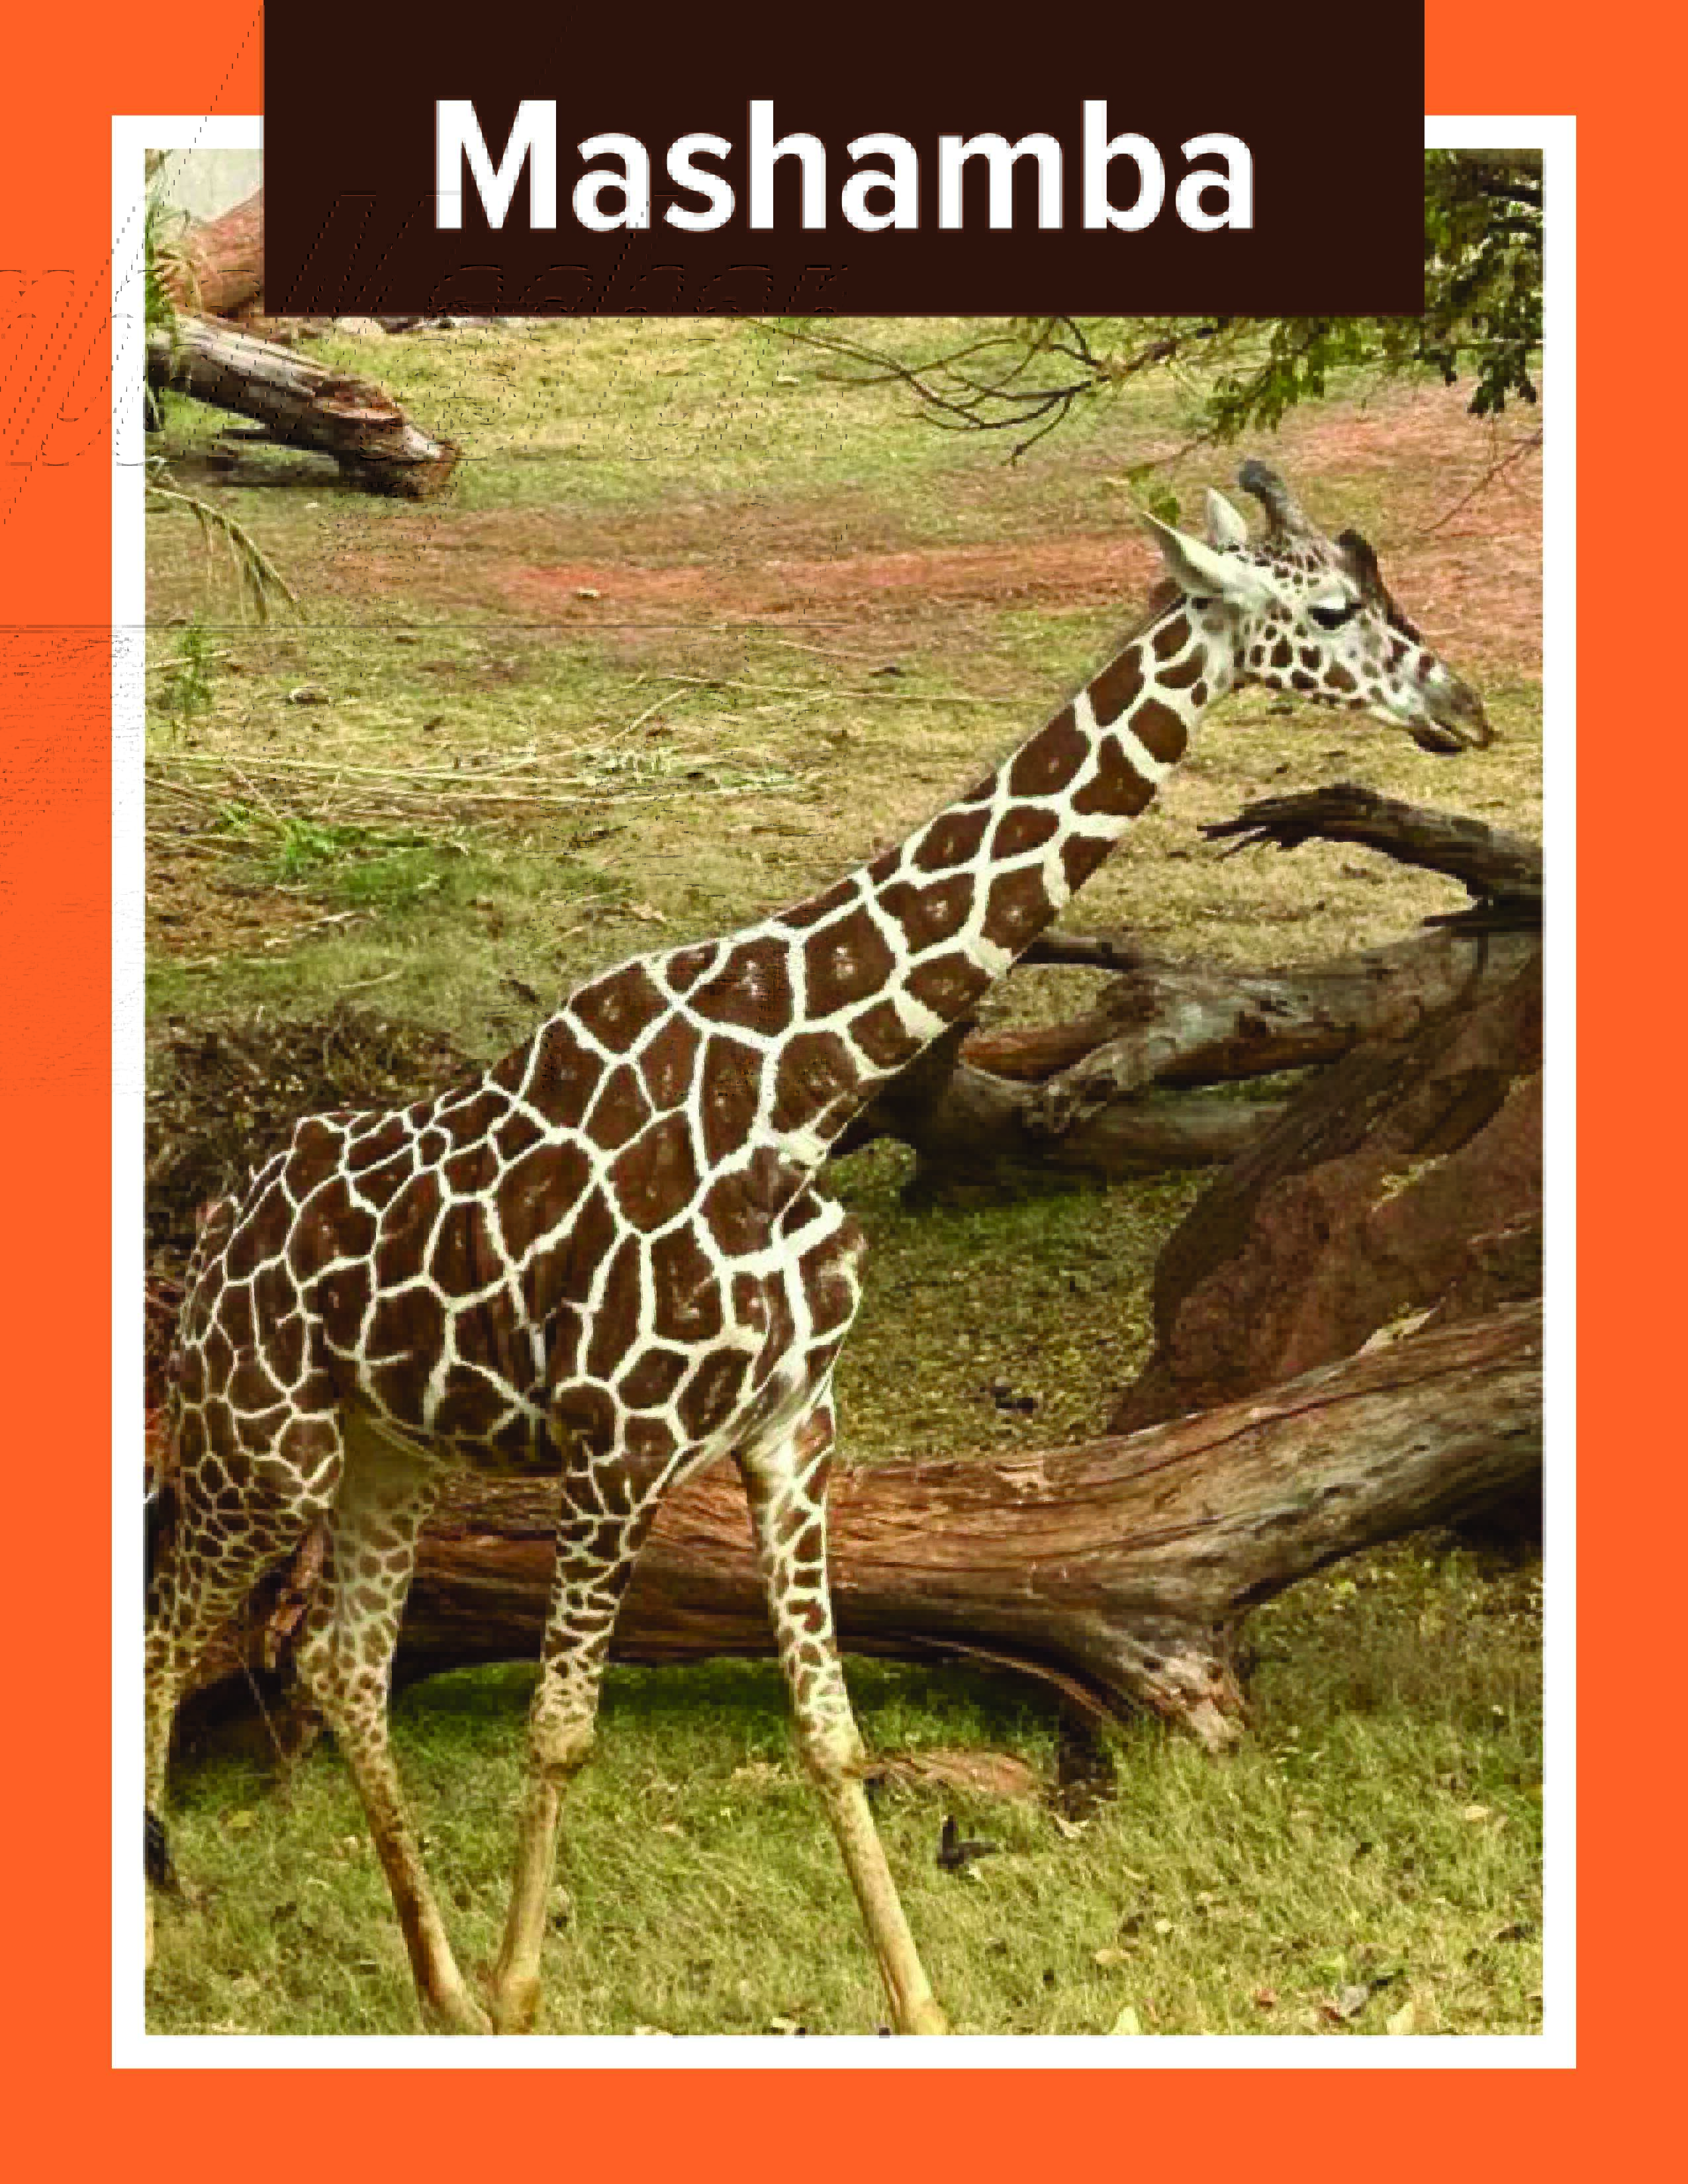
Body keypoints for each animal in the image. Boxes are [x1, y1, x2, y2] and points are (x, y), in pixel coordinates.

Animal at [144, 462, 1490, 2035]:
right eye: (1329, 610)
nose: (1464, 705)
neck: (801, 1091)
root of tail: (223, 1226)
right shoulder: (619, 1443)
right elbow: (561, 1733)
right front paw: (529, 1994)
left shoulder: (794, 1428)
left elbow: (833, 1734)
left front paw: (916, 2008)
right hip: (262, 1444)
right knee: (173, 1634)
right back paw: (178, 1938)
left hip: (388, 1452)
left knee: (340, 1662)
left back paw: (444, 1994)